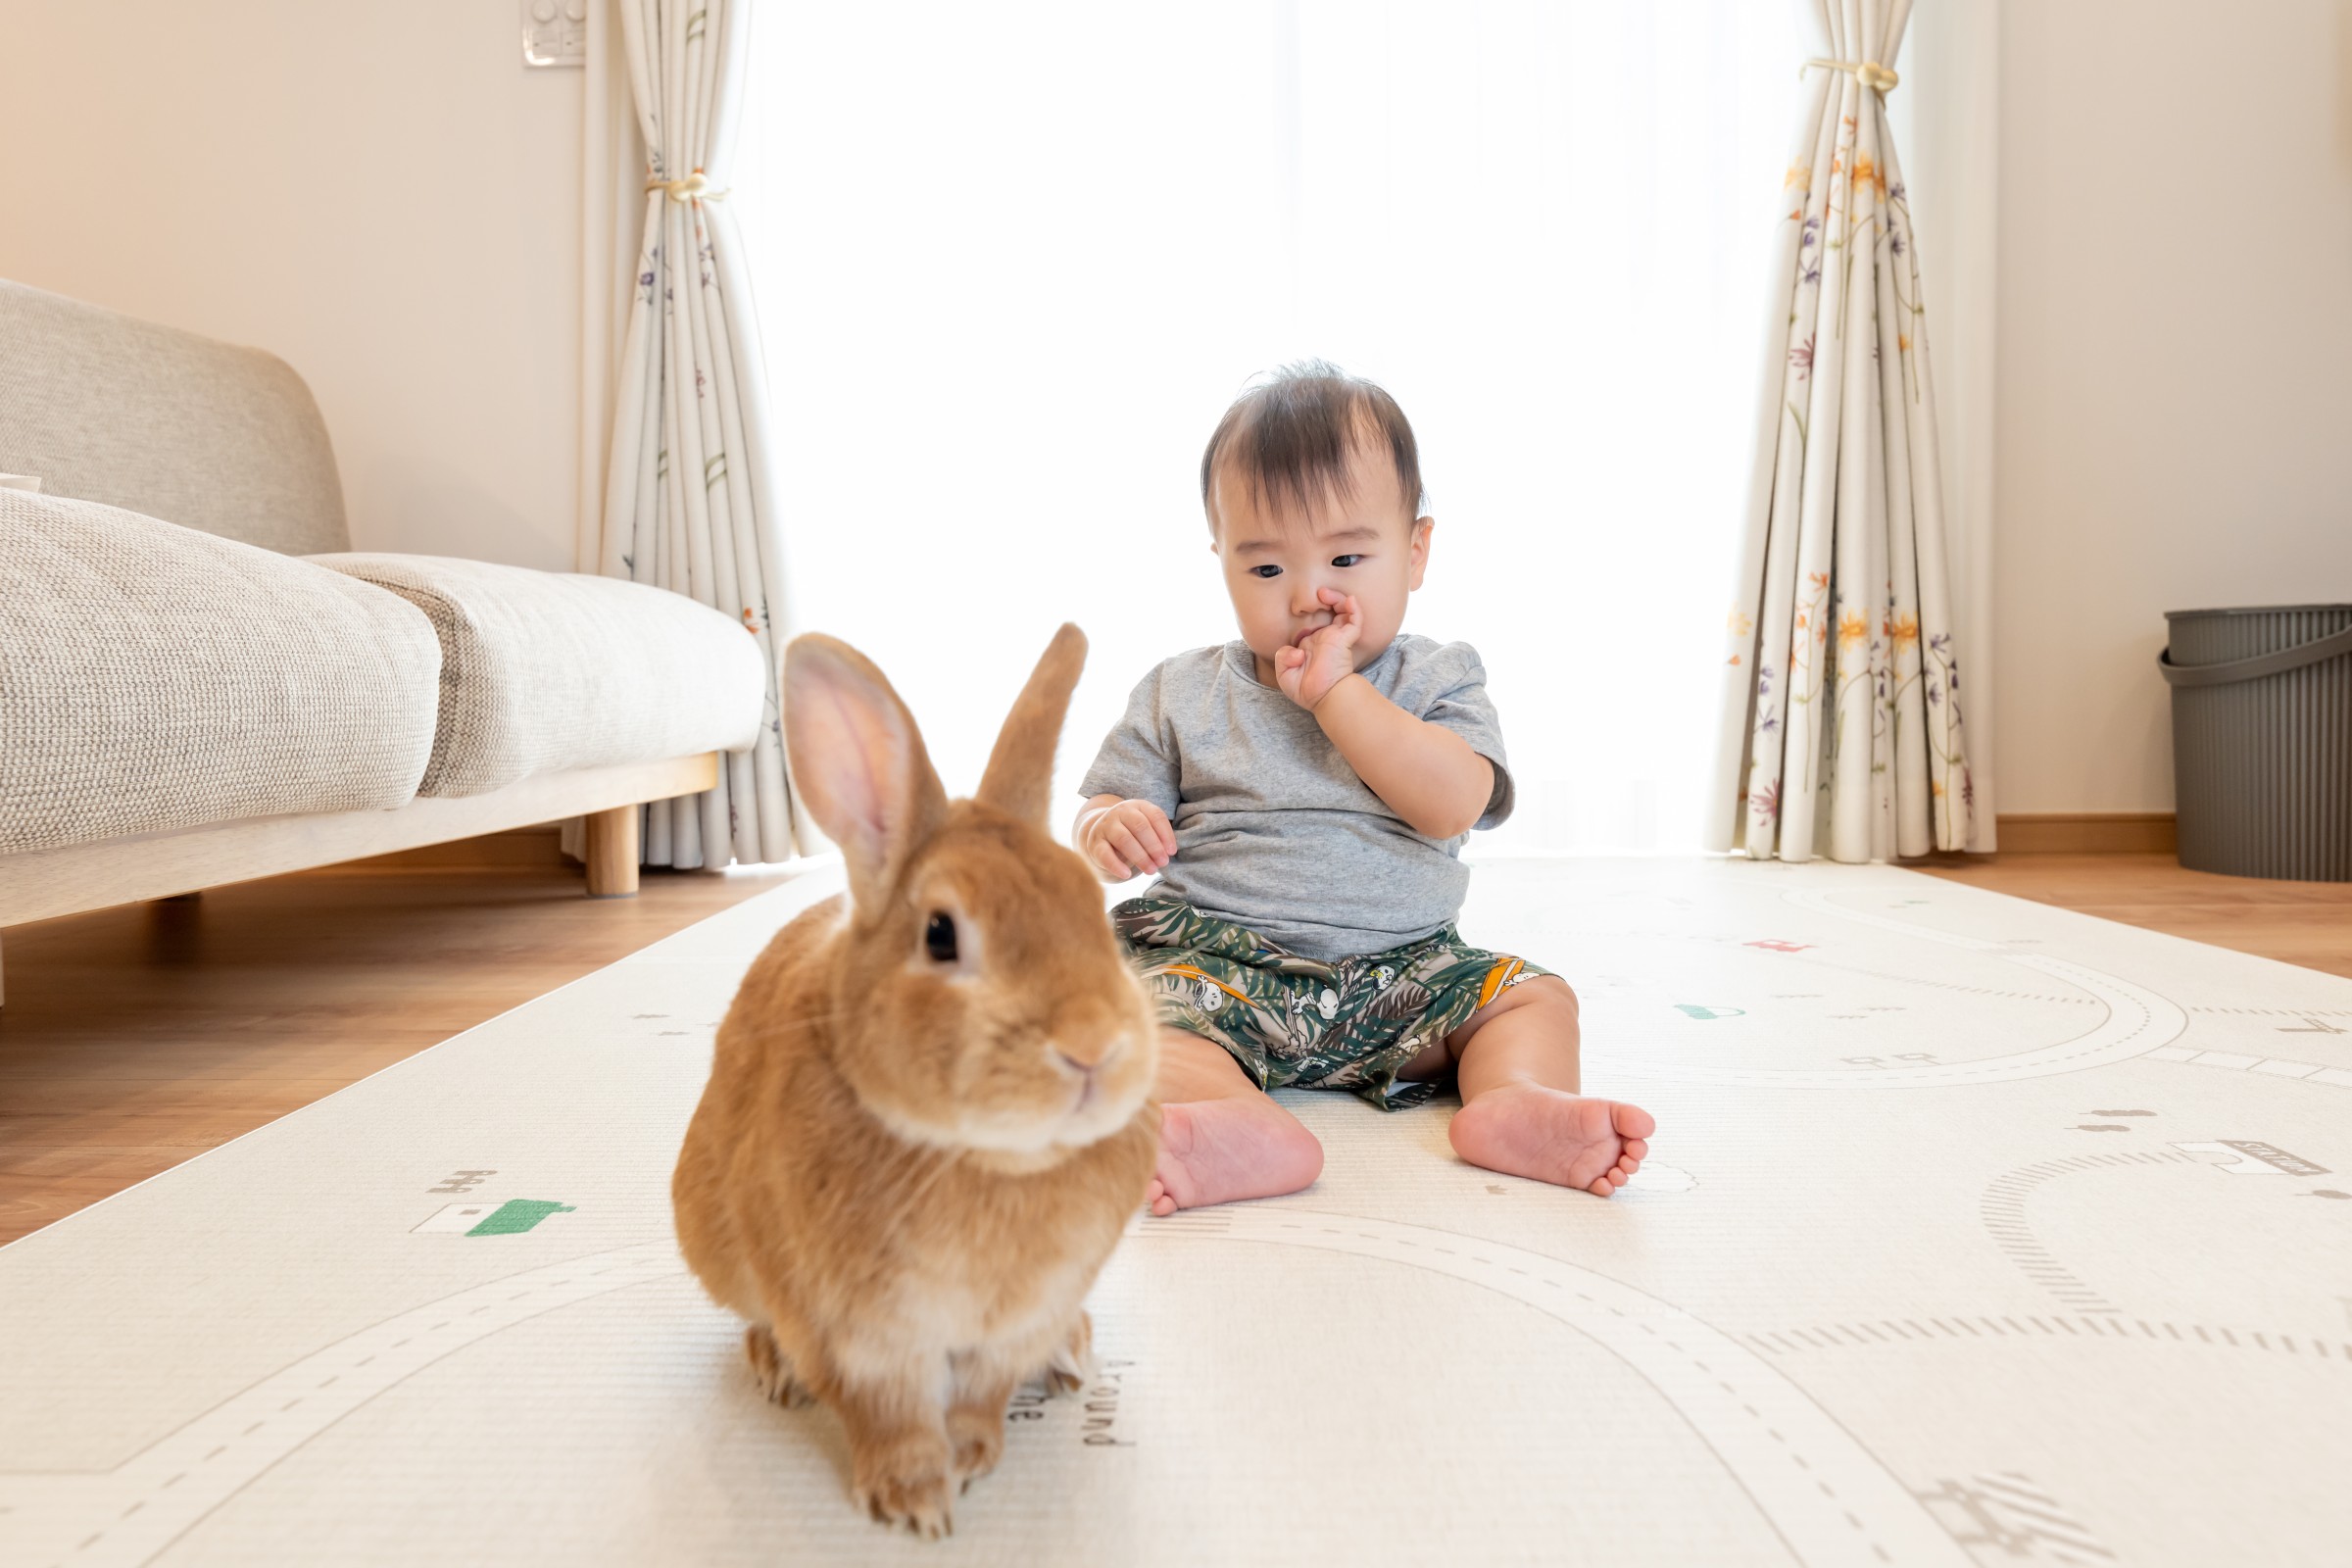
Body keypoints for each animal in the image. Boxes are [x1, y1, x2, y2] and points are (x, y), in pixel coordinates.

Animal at [672, 620, 1156, 1542]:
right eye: (940, 935)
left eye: (1093, 910)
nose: (1091, 1047)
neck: (985, 1163)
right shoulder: (856, 1337)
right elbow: (886, 1415)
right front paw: (916, 1504)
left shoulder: (1011, 1328)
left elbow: (981, 1397)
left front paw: (971, 1458)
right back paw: (772, 1370)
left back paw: (1072, 1356)